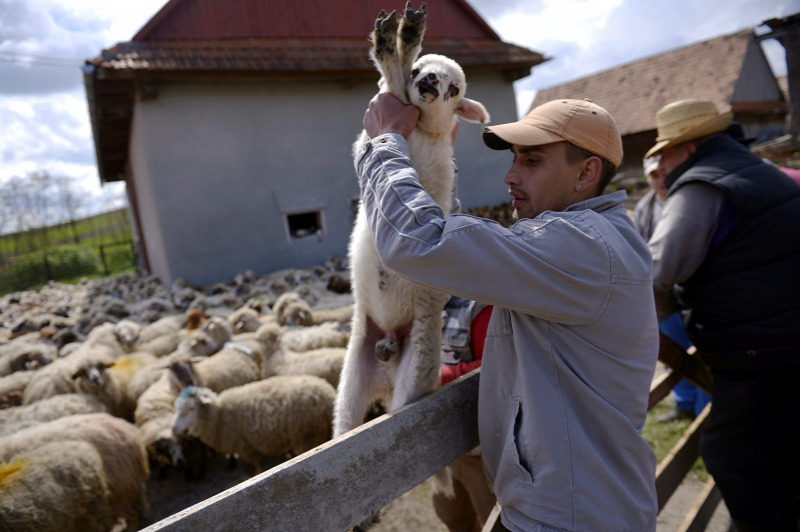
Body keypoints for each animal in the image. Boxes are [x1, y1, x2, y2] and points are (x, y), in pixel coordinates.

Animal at [172, 374, 338, 474]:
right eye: (177, 408)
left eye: (191, 408)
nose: (174, 429)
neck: (219, 416)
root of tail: (328, 394)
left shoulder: (245, 448)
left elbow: (256, 466)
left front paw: (257, 473)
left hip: (306, 436)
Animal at [332, 2, 488, 436]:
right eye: (423, 69)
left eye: (455, 89)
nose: (431, 80)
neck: (421, 134)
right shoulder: (369, 142)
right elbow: (395, 88)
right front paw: (398, 41)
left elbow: (395, 91)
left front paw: (397, 41)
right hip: (351, 381)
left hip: (413, 377)